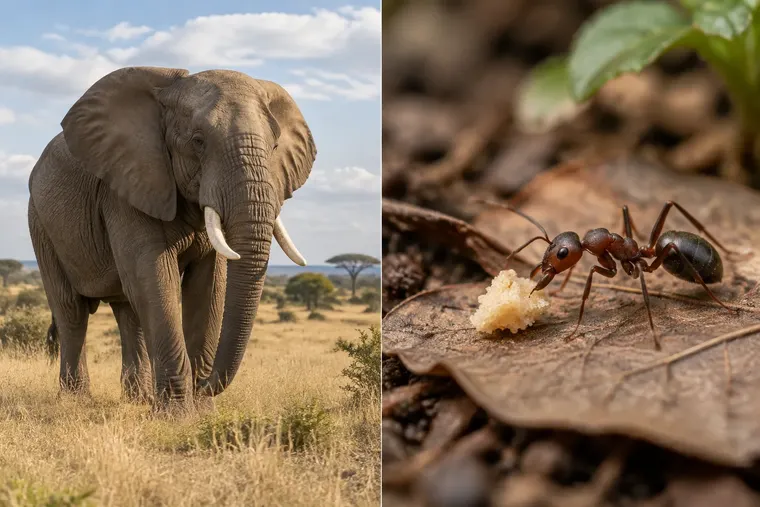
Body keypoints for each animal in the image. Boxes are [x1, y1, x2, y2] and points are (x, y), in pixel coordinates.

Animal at [27, 66, 316, 411]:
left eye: (274, 147)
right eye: (198, 141)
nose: (204, 384)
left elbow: (209, 284)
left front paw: (201, 410)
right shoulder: (126, 188)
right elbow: (154, 275)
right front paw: (177, 412)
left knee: (128, 311)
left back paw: (138, 399)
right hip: (40, 222)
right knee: (71, 309)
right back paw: (76, 401)